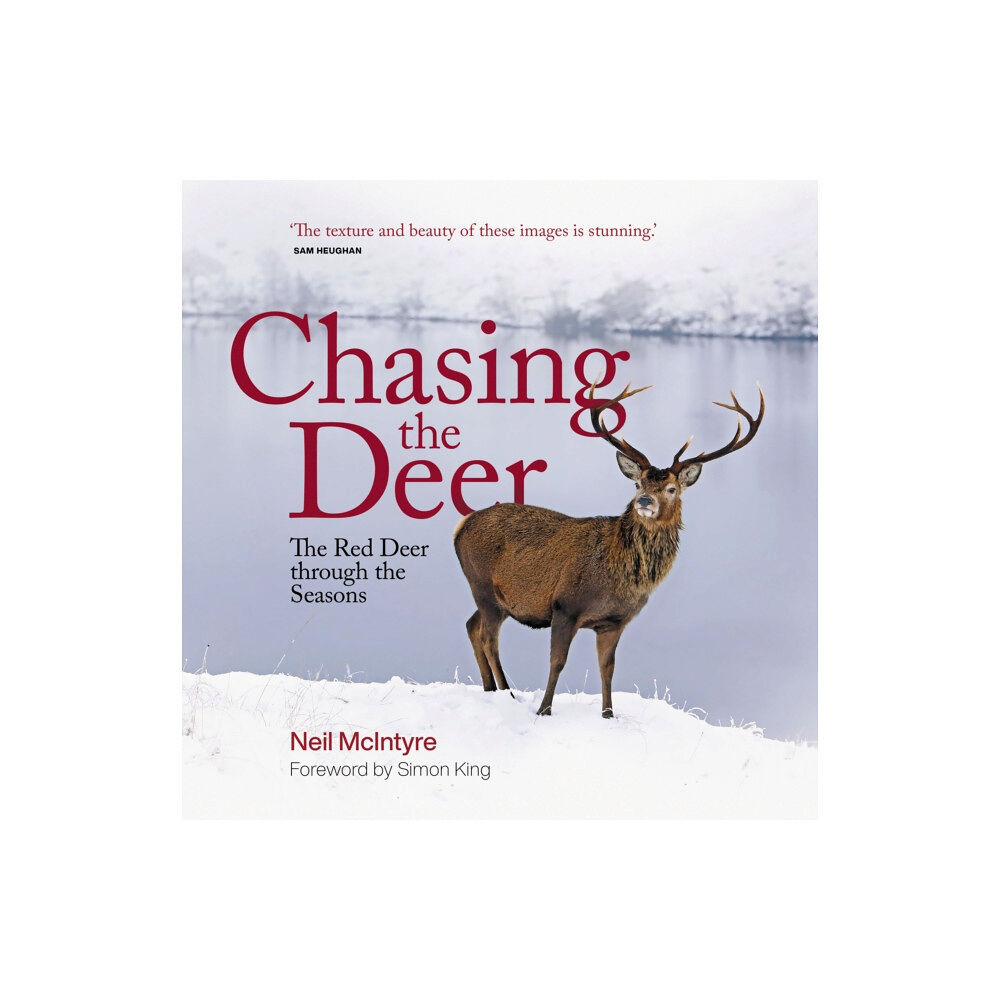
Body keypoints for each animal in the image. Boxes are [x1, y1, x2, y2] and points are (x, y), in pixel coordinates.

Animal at [453, 381, 765, 718]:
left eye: (671, 489)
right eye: (638, 484)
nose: (645, 501)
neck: (617, 575)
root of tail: (460, 527)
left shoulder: (614, 621)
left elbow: (608, 668)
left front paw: (608, 714)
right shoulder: (565, 605)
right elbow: (557, 662)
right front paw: (544, 710)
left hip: (496, 598)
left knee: (471, 626)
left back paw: (491, 689)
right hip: (483, 585)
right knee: (488, 637)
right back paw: (507, 692)